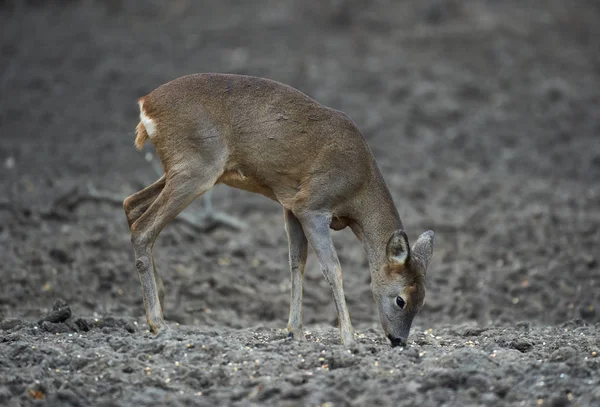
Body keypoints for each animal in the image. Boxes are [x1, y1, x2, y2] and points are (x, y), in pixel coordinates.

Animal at [124, 73, 434, 348]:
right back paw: (158, 323)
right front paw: (348, 339)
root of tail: (146, 104)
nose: (399, 341)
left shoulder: (290, 206)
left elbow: (297, 263)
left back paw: (160, 305)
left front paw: (294, 331)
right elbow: (332, 268)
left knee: (131, 204)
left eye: (423, 300)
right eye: (401, 299)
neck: (357, 192)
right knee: (143, 228)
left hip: (183, 170)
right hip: (195, 167)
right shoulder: (312, 205)